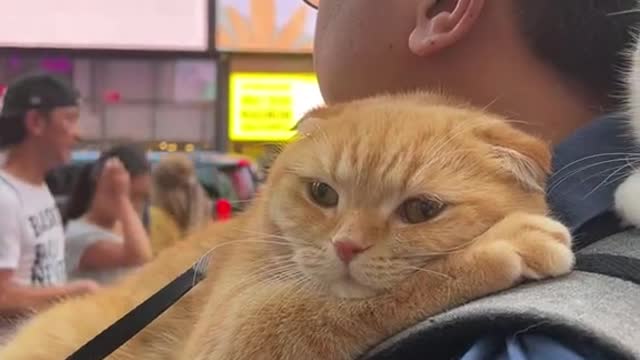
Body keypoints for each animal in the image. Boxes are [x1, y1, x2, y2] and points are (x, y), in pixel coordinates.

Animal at [0, 93, 572, 360]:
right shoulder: (231, 340)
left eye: (420, 211)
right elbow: (327, 308)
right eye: (322, 194)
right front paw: (505, 243)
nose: (346, 246)